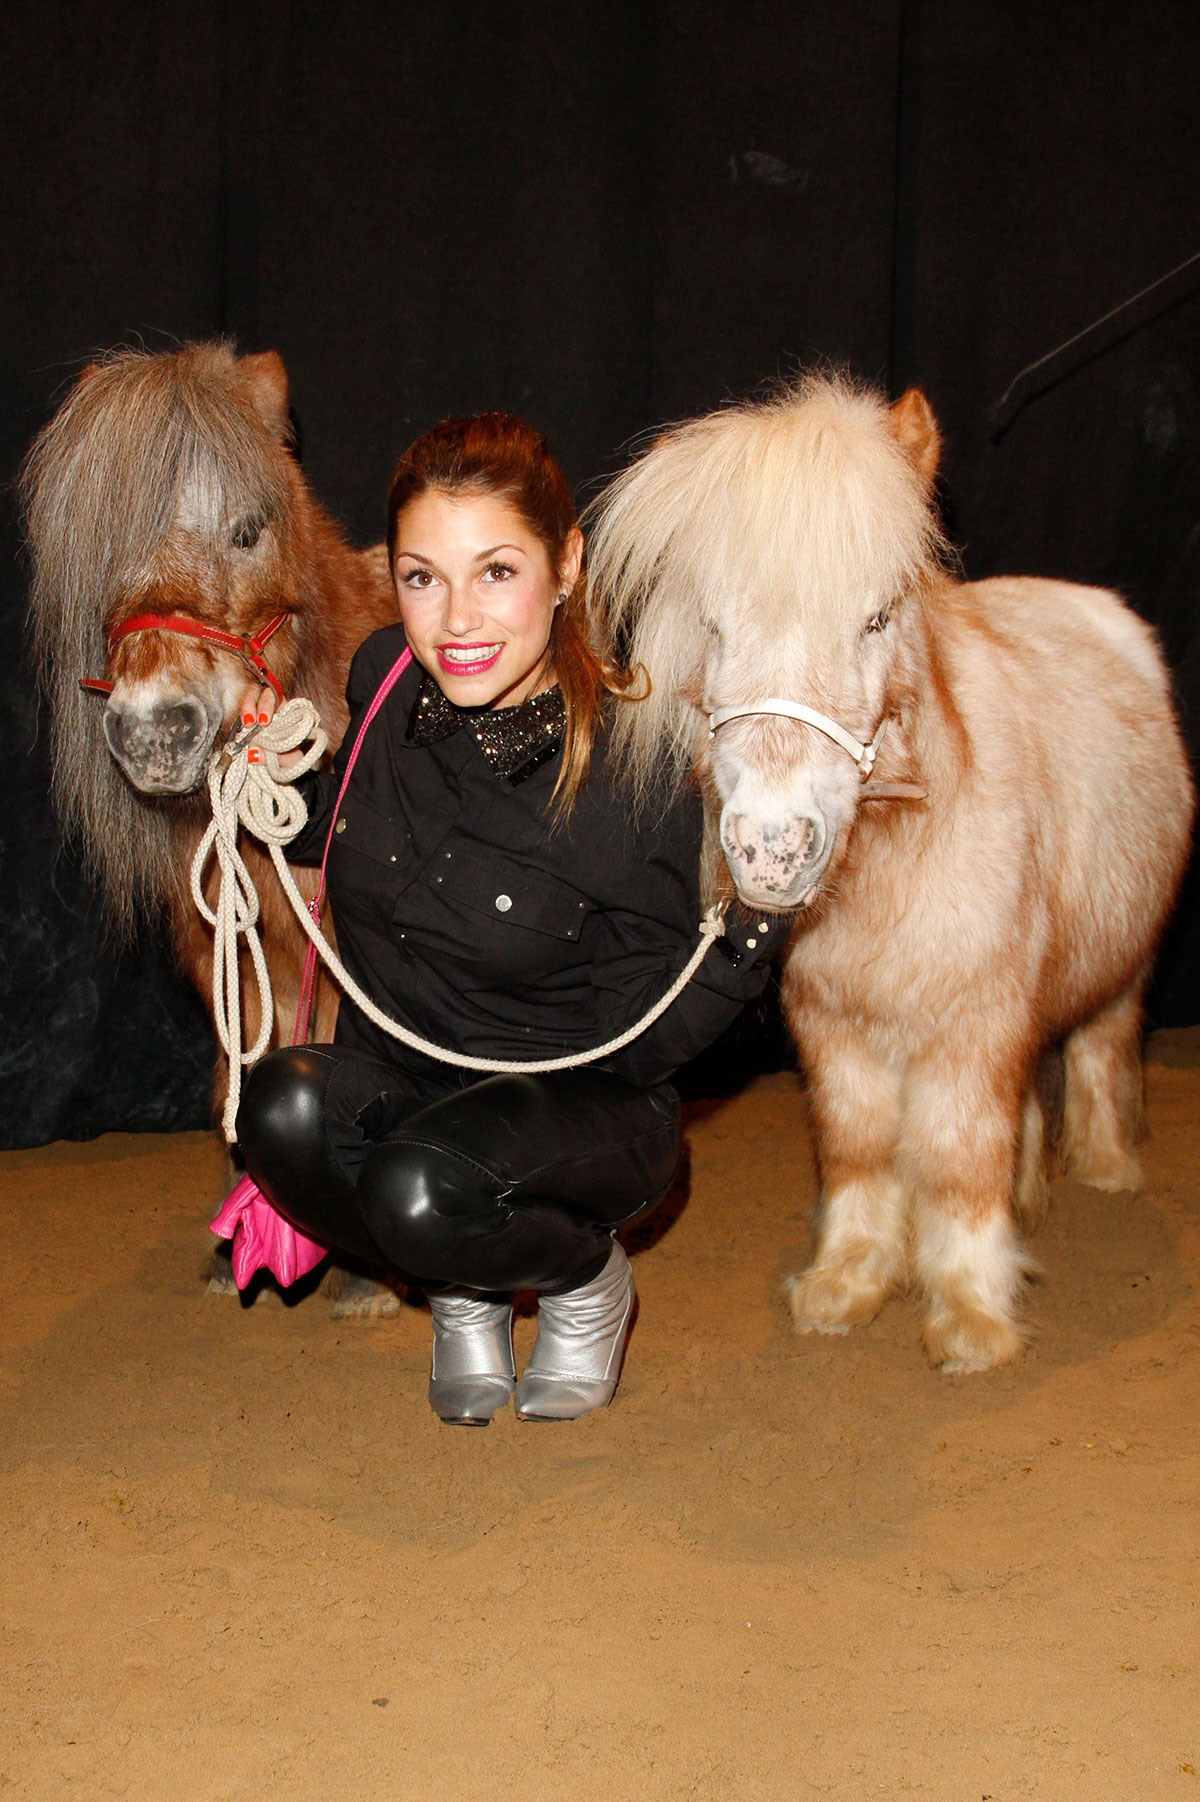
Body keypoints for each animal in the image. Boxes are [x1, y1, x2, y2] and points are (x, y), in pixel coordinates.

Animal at [22, 338, 396, 1297]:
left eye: (248, 529)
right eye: (100, 541)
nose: (156, 729)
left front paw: (364, 1276)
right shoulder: (218, 944)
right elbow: (241, 1065)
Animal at [583, 373, 1189, 1369]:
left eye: (876, 619)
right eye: (713, 624)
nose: (772, 847)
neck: (895, 865)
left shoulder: (975, 1027)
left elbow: (959, 1158)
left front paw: (973, 1315)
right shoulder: (836, 1028)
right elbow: (859, 1147)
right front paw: (848, 1282)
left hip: (1122, 967)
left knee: (1100, 1045)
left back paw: (1107, 1173)